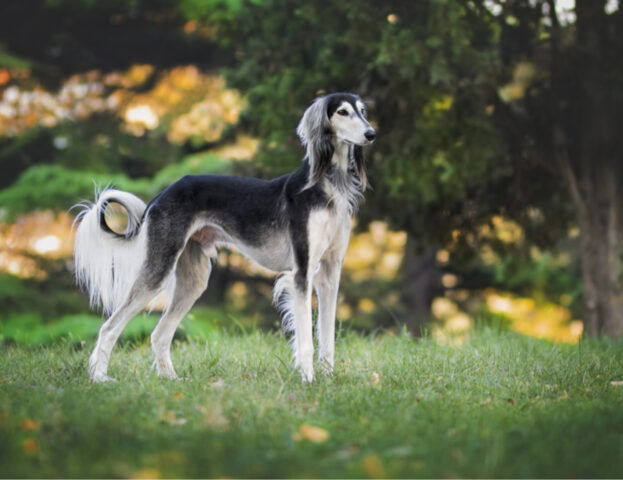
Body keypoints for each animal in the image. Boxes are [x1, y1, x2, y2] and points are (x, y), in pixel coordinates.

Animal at [73, 93, 376, 382]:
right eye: (342, 112)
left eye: (363, 111)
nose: (371, 133)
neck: (328, 185)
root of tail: (162, 194)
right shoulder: (302, 272)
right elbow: (306, 340)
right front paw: (308, 379)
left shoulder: (330, 272)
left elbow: (327, 337)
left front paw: (328, 379)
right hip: (159, 268)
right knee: (109, 327)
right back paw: (100, 378)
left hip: (193, 279)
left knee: (159, 334)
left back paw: (171, 379)